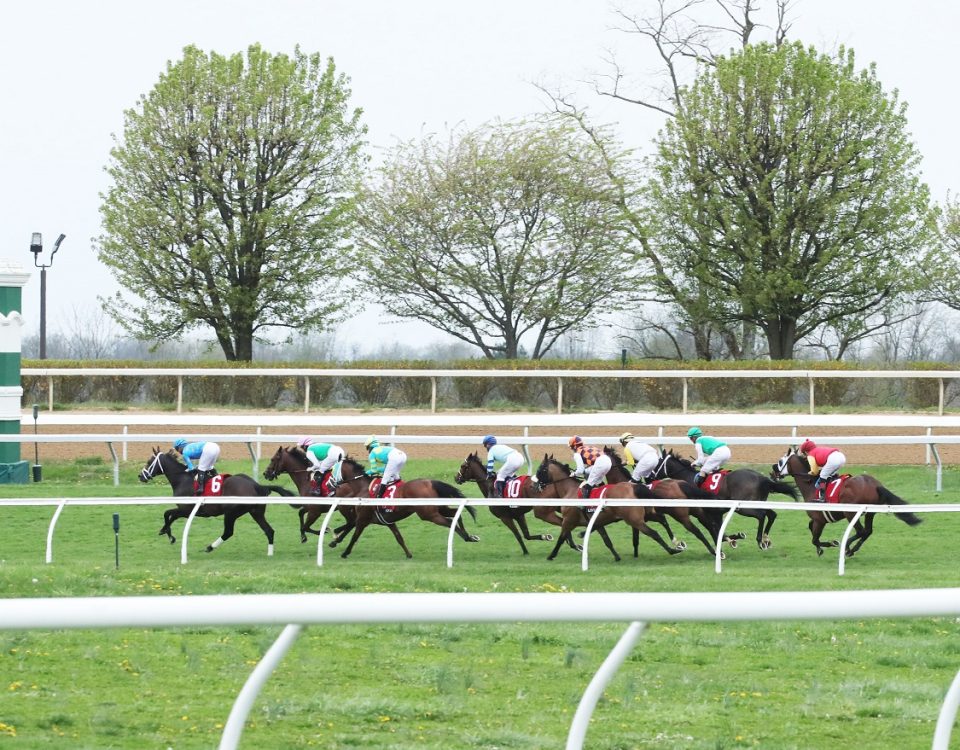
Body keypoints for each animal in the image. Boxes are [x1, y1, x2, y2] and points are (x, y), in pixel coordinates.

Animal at [137, 450, 290, 556]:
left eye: (149, 461)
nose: (140, 476)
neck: (182, 479)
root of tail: (257, 486)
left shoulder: (186, 510)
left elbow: (168, 513)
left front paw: (168, 534)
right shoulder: (186, 511)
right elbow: (169, 514)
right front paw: (167, 532)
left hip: (231, 512)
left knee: (228, 532)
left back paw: (209, 547)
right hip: (256, 512)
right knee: (269, 530)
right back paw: (270, 553)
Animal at [328, 456, 480, 560]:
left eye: (333, 470)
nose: (331, 485)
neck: (363, 488)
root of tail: (430, 482)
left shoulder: (363, 519)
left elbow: (354, 535)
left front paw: (344, 551)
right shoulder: (388, 521)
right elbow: (399, 537)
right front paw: (408, 554)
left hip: (428, 514)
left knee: (449, 522)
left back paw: (465, 537)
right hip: (438, 508)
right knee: (456, 514)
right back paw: (469, 536)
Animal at [532, 452, 684, 564]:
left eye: (540, 469)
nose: (534, 485)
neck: (570, 491)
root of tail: (635, 488)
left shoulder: (568, 521)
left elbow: (561, 538)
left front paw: (551, 555)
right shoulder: (597, 522)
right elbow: (607, 540)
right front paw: (617, 557)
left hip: (635, 520)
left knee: (654, 533)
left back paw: (673, 550)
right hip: (646, 515)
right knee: (661, 519)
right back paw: (676, 544)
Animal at [652, 450, 796, 548]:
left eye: (656, 464)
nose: (649, 477)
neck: (687, 479)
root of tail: (762, 478)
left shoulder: (705, 513)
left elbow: (715, 530)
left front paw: (730, 540)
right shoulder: (716, 513)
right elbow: (719, 529)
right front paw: (733, 539)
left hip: (743, 507)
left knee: (761, 515)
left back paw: (760, 540)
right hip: (758, 502)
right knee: (771, 514)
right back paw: (766, 539)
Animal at [768, 450, 920, 560]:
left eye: (781, 461)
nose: (772, 472)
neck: (810, 485)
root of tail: (874, 484)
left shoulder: (819, 520)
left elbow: (814, 538)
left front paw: (831, 544)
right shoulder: (818, 519)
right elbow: (811, 531)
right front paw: (821, 548)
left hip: (851, 513)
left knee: (861, 531)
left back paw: (846, 547)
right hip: (870, 512)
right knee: (868, 531)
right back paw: (852, 549)